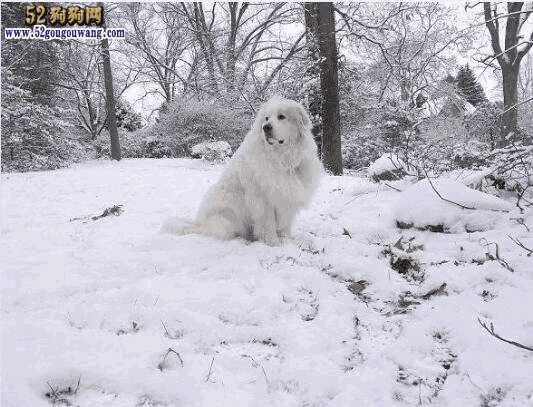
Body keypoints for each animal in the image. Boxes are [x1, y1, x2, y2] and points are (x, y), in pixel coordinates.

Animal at [163, 97, 320, 247]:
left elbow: (285, 224)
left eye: (281, 117)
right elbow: (268, 225)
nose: (266, 127)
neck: (282, 159)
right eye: (266, 118)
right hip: (227, 219)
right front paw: (274, 244)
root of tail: (199, 225)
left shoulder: (287, 197)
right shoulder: (262, 201)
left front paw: (287, 241)